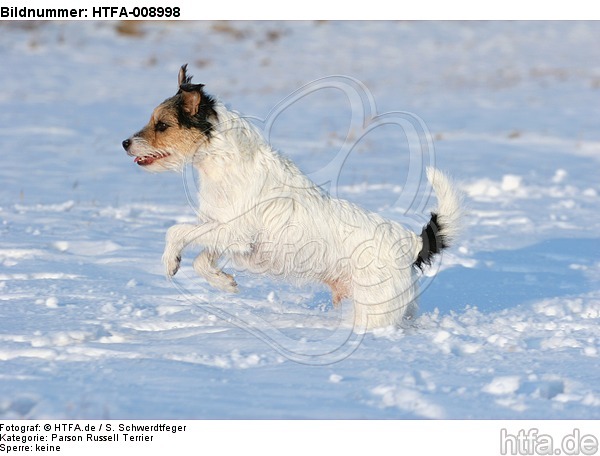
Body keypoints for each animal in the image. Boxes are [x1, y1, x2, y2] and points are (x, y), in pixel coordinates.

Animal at [120, 64, 460, 330]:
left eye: (162, 125)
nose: (124, 143)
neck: (224, 162)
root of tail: (411, 243)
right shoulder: (224, 232)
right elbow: (203, 259)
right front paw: (224, 282)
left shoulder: (233, 230)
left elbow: (176, 231)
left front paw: (170, 262)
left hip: (375, 311)